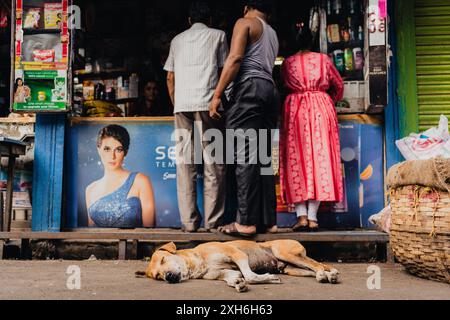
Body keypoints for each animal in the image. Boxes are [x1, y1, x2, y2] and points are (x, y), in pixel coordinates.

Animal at [135, 240, 340, 292]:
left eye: (163, 260)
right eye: (158, 276)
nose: (168, 277)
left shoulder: (237, 255)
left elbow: (249, 275)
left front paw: (267, 278)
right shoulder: (221, 273)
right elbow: (233, 277)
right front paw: (237, 283)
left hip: (285, 252)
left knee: (316, 264)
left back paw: (326, 274)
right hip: (291, 268)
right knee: (312, 269)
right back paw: (327, 275)